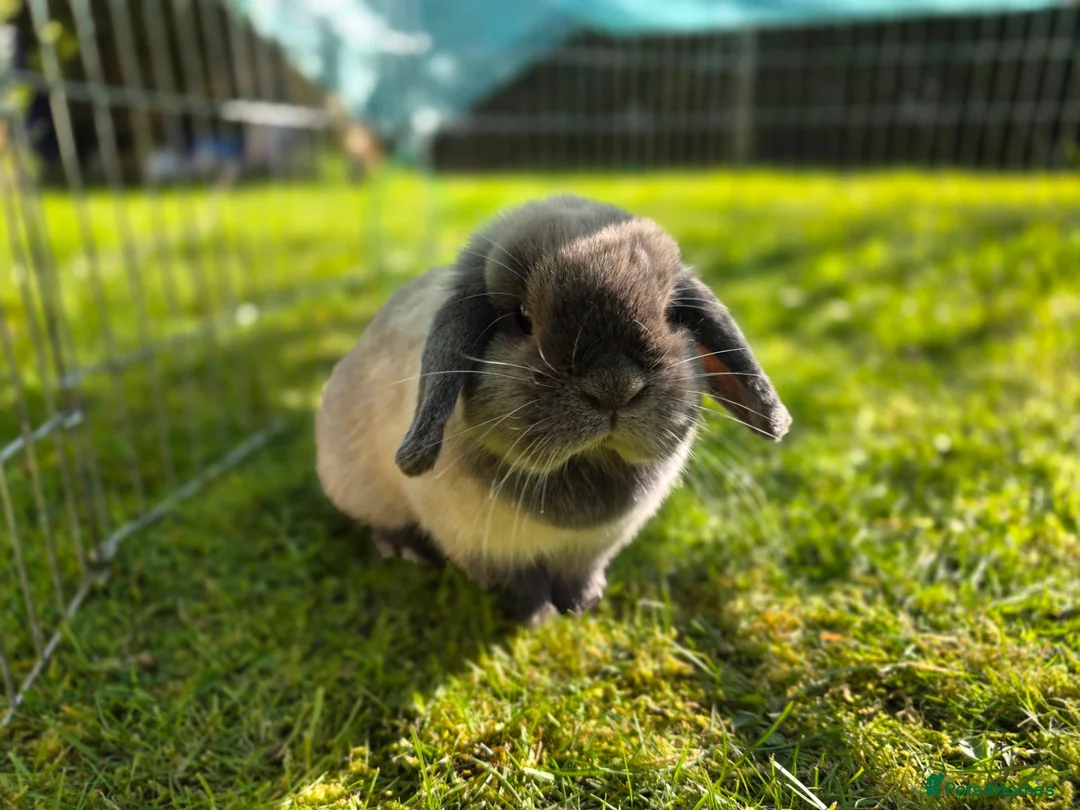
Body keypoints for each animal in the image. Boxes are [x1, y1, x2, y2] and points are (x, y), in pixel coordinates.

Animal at [315, 194, 791, 624]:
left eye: (672, 314)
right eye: (522, 319)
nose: (614, 386)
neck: (586, 464)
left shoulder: (591, 549)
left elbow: (580, 576)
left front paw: (583, 606)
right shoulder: (486, 550)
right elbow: (521, 585)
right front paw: (540, 617)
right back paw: (405, 549)